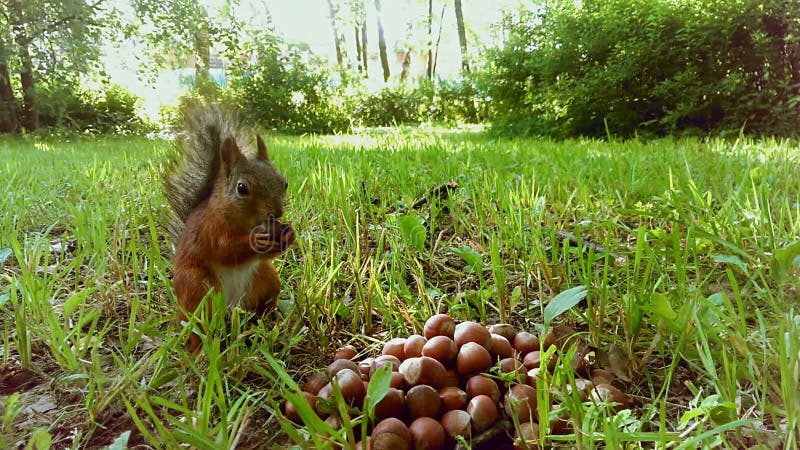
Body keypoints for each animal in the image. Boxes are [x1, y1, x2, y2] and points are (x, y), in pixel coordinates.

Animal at [161, 103, 296, 350]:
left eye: (284, 182)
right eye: (242, 188)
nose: (278, 213)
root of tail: (232, 304)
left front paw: (289, 233)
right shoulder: (210, 229)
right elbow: (225, 250)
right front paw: (256, 241)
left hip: (267, 279)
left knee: (262, 306)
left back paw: (271, 324)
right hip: (196, 286)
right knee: (198, 326)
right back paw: (199, 351)